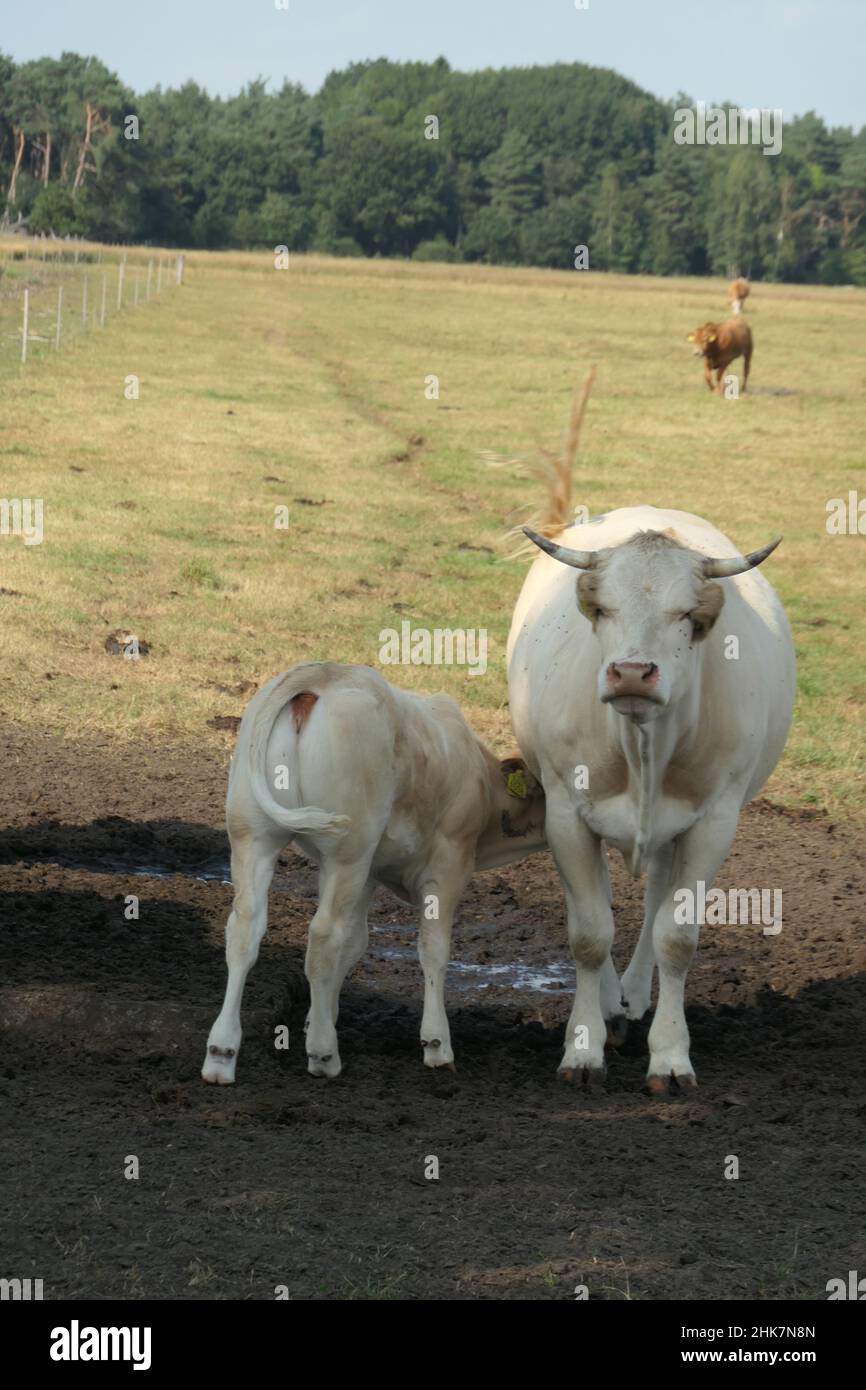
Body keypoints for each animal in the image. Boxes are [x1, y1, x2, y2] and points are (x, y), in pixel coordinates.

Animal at [201, 661, 547, 1084]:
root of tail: (323, 674)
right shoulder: (447, 865)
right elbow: (433, 949)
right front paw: (436, 1043)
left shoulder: (367, 873)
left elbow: (355, 943)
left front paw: (318, 1018)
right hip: (347, 848)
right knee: (323, 935)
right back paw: (323, 1055)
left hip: (255, 835)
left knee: (244, 929)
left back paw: (222, 1052)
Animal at [508, 505, 800, 1089]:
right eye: (604, 609)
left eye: (685, 613)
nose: (632, 673)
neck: (641, 744)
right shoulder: (566, 814)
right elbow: (589, 933)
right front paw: (583, 1048)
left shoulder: (713, 823)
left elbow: (676, 937)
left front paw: (669, 1054)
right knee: (596, 899)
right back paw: (609, 1005)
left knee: (656, 898)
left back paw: (635, 994)